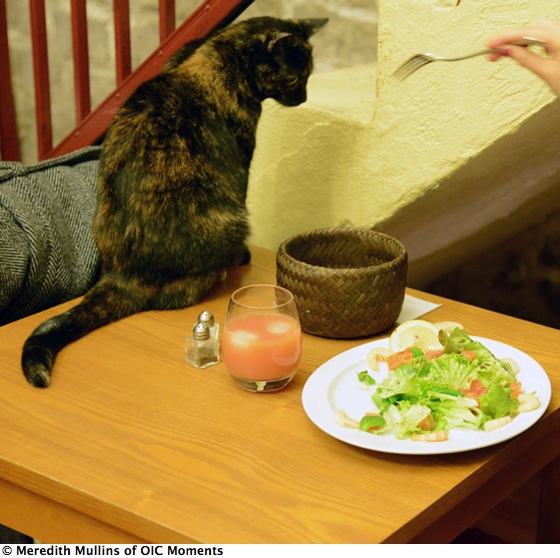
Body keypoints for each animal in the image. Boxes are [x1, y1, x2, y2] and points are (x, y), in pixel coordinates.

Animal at [23, 16, 328, 384]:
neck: (220, 47)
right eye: (298, 77)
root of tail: (122, 276)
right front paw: (243, 257)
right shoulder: (242, 156)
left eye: (308, 75)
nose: (304, 97)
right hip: (232, 220)